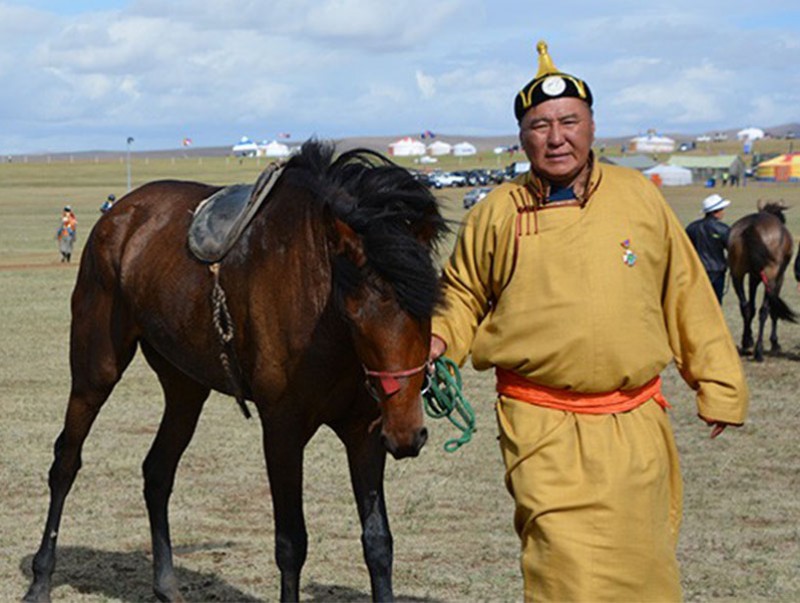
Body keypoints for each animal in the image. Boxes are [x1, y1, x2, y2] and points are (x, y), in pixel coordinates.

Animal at [25, 142, 446, 603]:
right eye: (353, 312)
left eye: (430, 302)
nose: (407, 434)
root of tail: (119, 216)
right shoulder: (282, 430)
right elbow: (291, 543)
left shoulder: (365, 432)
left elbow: (378, 543)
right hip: (95, 369)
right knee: (66, 462)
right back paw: (40, 580)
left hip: (185, 388)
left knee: (157, 471)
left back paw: (166, 586)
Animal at [732, 202, 792, 364]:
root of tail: (752, 227)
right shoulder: (779, 278)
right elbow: (773, 310)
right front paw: (774, 342)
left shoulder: (753, 277)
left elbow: (751, 307)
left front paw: (748, 340)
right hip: (770, 278)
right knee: (764, 311)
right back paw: (758, 351)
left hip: (737, 274)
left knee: (745, 306)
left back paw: (747, 344)